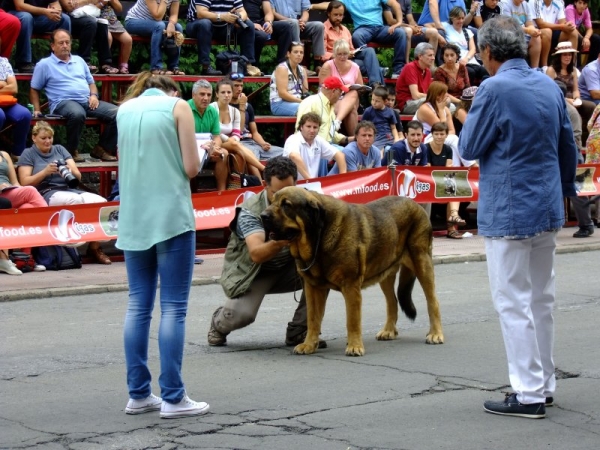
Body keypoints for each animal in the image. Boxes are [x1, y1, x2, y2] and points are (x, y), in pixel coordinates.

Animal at [260, 185, 442, 356]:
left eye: (286, 205)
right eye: (273, 201)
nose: (262, 216)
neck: (319, 235)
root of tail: (415, 203)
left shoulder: (351, 286)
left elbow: (352, 320)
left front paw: (354, 347)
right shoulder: (313, 288)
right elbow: (313, 319)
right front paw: (309, 345)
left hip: (422, 262)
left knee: (432, 301)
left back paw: (435, 334)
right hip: (385, 273)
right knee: (392, 302)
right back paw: (389, 331)